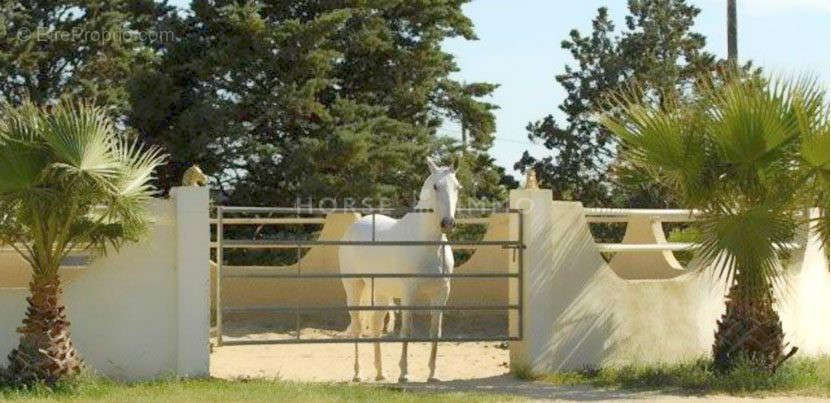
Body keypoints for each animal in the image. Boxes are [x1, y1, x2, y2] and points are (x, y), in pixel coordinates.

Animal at [338, 157, 462, 382]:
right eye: (435, 186)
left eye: (457, 187)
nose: (448, 223)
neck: (426, 245)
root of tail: (356, 225)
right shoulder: (408, 294)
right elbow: (407, 331)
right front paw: (404, 374)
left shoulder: (441, 294)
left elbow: (435, 332)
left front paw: (432, 374)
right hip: (354, 287)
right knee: (358, 326)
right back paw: (357, 374)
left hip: (380, 292)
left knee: (376, 325)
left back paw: (380, 373)